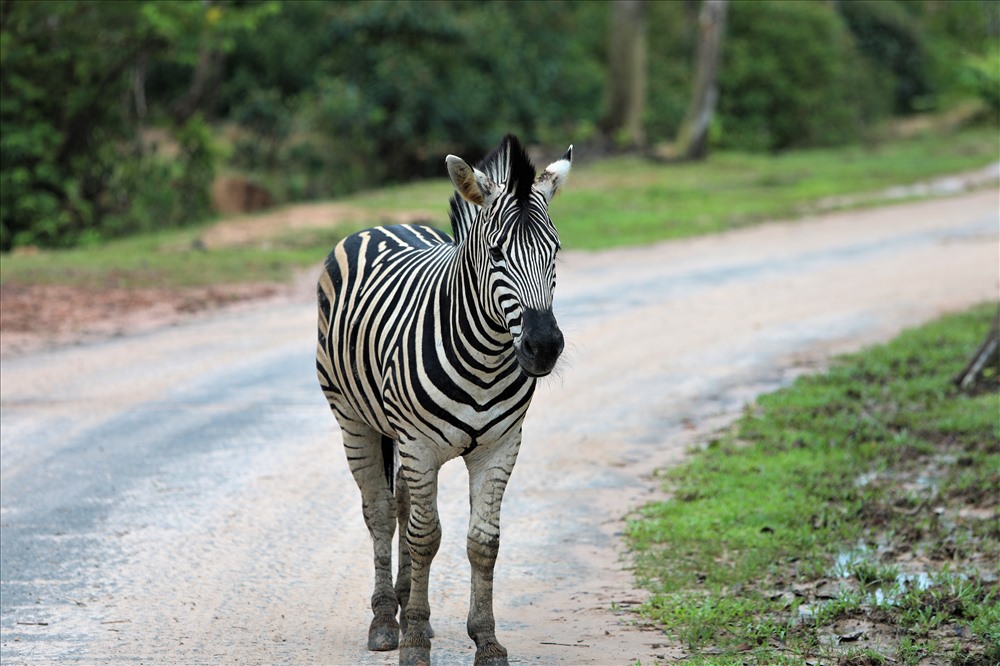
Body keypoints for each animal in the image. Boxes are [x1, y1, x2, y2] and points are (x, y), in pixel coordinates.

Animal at [316, 132, 576, 660]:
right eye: (496, 253)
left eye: (556, 250)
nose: (543, 346)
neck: (485, 358)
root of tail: (386, 223)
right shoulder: (419, 445)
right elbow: (425, 536)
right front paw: (414, 640)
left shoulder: (501, 447)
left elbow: (483, 542)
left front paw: (487, 641)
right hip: (352, 418)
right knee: (381, 512)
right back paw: (385, 621)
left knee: (399, 503)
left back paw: (403, 603)